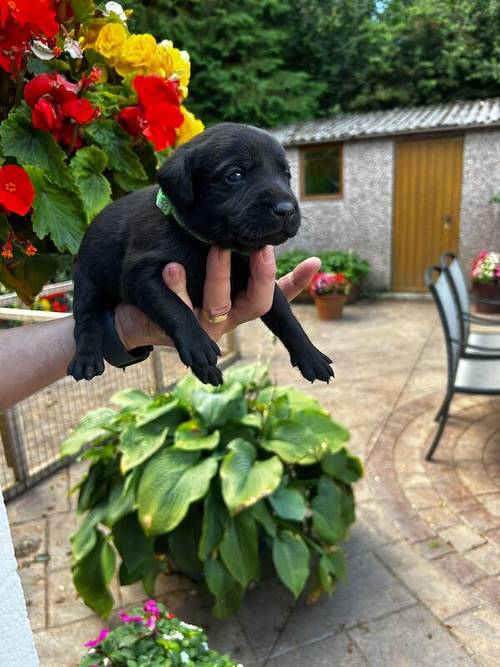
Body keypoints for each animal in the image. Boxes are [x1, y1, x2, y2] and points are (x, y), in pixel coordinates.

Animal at [68, 122, 334, 386]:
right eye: (235, 175)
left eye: (286, 175)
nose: (287, 209)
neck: (203, 243)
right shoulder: (139, 274)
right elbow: (173, 306)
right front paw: (198, 342)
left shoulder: (260, 279)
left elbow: (285, 316)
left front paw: (311, 355)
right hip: (87, 281)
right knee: (87, 321)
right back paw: (86, 359)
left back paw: (207, 371)